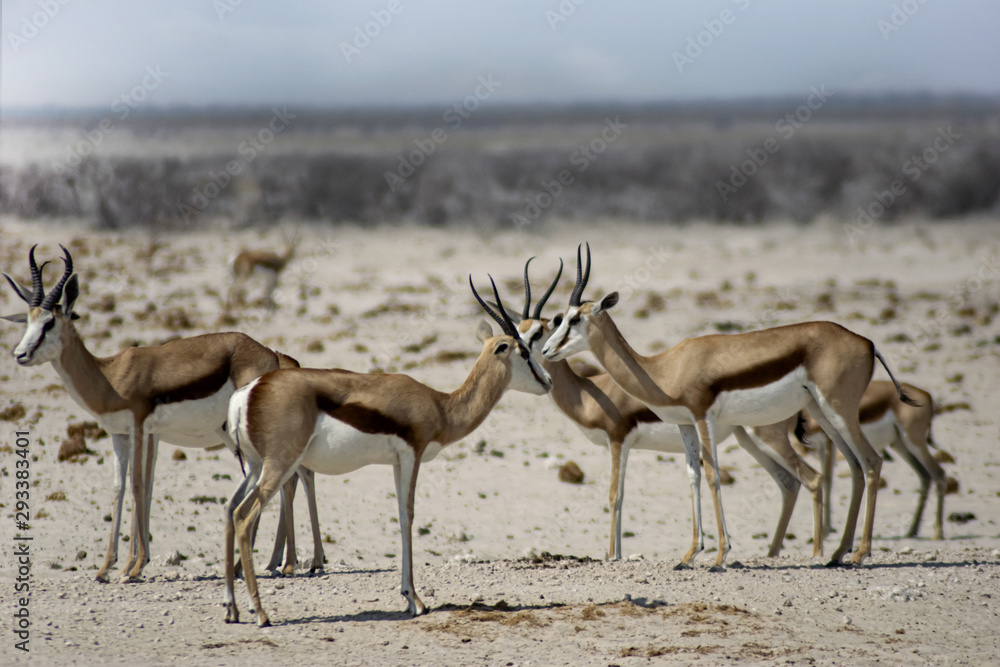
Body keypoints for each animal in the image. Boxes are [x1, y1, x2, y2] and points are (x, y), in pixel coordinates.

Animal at [1, 245, 324, 581]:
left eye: (49, 323)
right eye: (27, 321)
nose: (20, 354)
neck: (109, 375)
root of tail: (271, 355)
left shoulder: (140, 428)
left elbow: (138, 485)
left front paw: (134, 567)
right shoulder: (124, 435)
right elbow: (124, 487)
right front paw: (107, 567)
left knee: (286, 478)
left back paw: (285, 564)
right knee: (288, 476)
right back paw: (281, 562)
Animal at [223, 276, 552, 627]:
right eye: (524, 351)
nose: (548, 381)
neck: (441, 406)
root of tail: (249, 391)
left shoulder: (396, 462)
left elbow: (400, 513)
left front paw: (409, 596)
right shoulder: (412, 455)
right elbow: (408, 514)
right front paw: (414, 599)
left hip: (255, 465)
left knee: (229, 510)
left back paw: (232, 609)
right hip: (279, 464)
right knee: (244, 516)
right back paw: (260, 612)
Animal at [499, 258, 823, 562]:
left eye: (540, 331)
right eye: (519, 332)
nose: (533, 353)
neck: (590, 392)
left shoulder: (618, 441)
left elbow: (615, 495)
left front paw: (614, 556)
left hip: (766, 437)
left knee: (810, 478)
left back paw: (817, 553)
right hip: (749, 440)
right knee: (789, 485)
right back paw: (773, 553)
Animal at [541, 244, 918, 569]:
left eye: (573, 319)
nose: (546, 350)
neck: (663, 368)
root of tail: (867, 342)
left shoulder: (701, 417)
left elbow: (712, 475)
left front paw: (720, 556)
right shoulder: (685, 424)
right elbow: (693, 476)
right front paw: (689, 555)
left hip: (838, 411)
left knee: (871, 462)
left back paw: (859, 554)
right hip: (823, 414)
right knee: (853, 466)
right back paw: (837, 554)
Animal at [799, 380, 945, 540]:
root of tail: (927, 395)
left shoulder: (829, 443)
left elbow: (828, 480)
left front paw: (826, 530)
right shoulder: (819, 447)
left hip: (914, 441)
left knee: (938, 472)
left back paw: (938, 534)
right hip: (899, 444)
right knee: (925, 475)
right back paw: (912, 531)